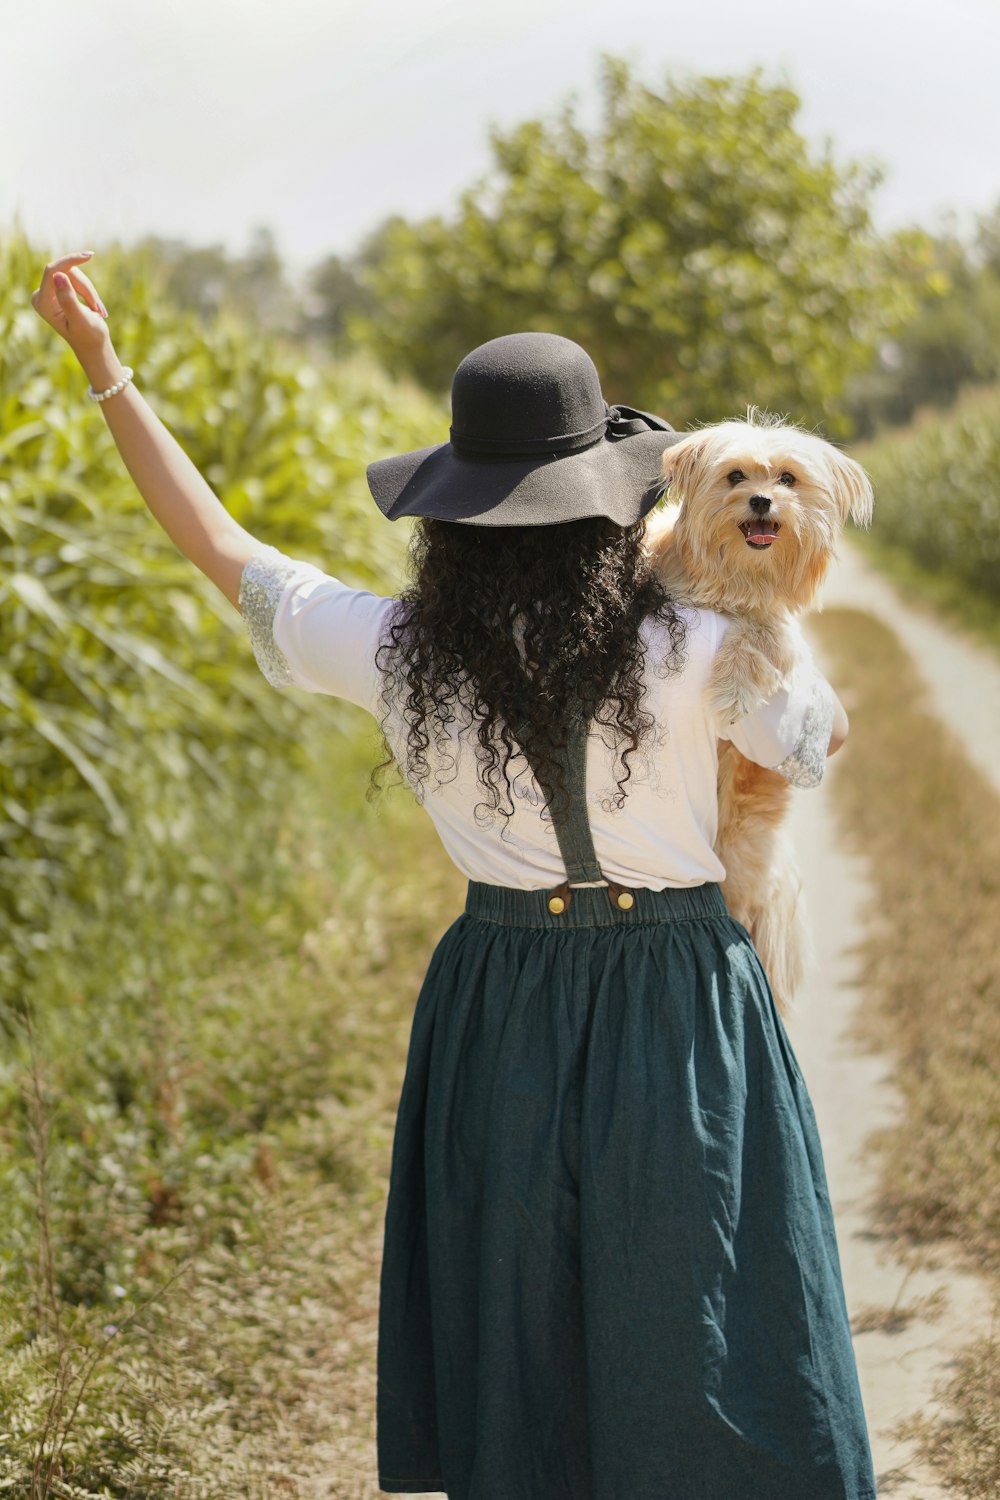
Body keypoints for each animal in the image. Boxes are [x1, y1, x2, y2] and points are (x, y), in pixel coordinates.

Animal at [644, 411, 869, 1014]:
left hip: (743, 851)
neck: (735, 578)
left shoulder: (780, 631)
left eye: (788, 479)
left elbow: (759, 634)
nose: (763, 500)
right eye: (736, 476)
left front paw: (731, 688)